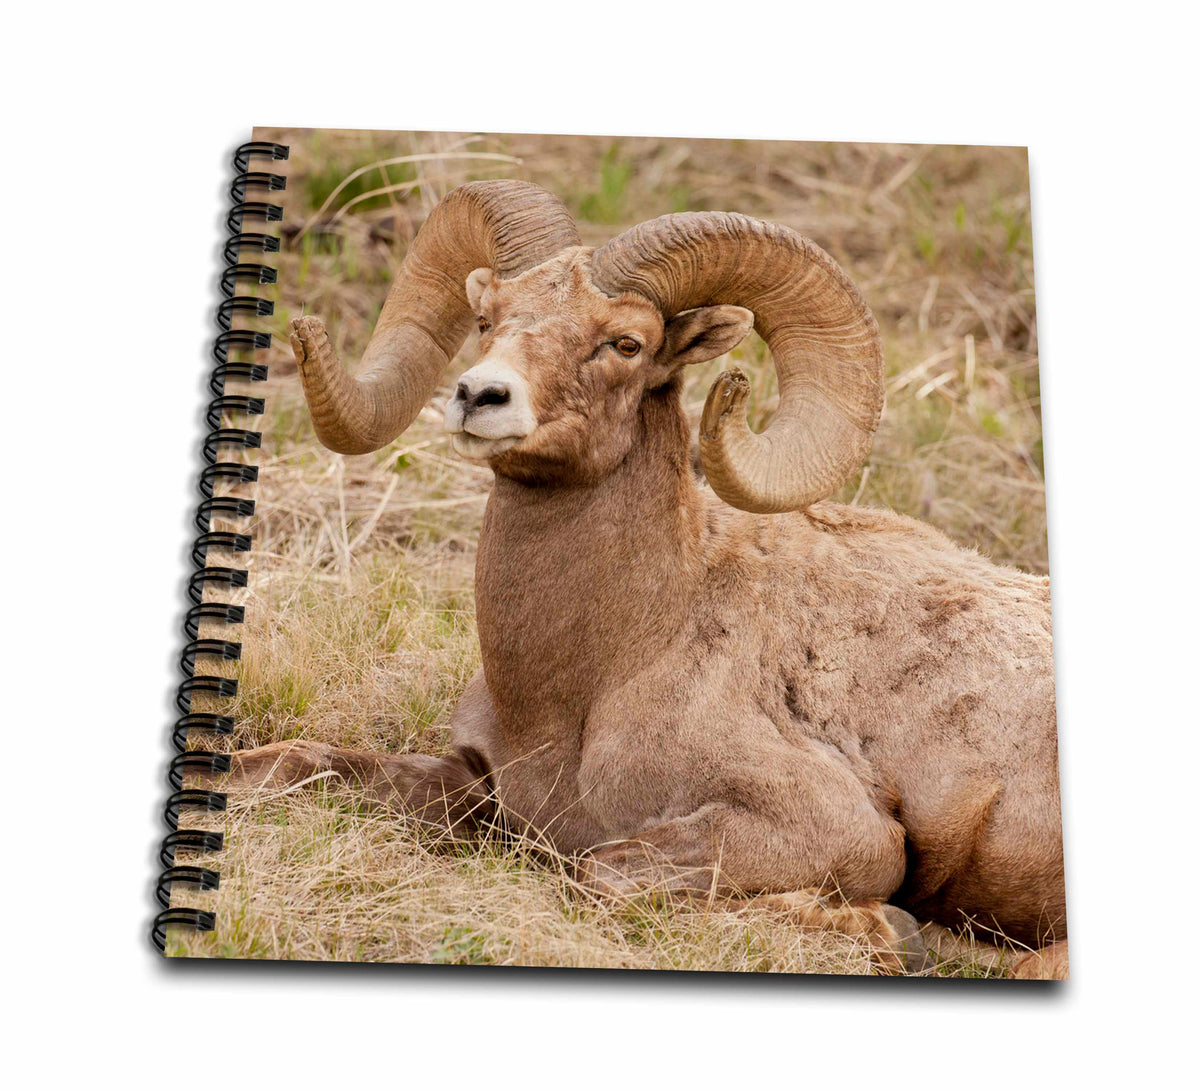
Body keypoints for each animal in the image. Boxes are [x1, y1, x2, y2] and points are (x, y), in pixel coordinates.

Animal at [230, 180, 1066, 977]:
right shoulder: (476, 785)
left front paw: (887, 934)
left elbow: (599, 872)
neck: (601, 673)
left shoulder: (837, 832)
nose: (478, 396)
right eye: (486, 318)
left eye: (625, 342)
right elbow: (293, 763)